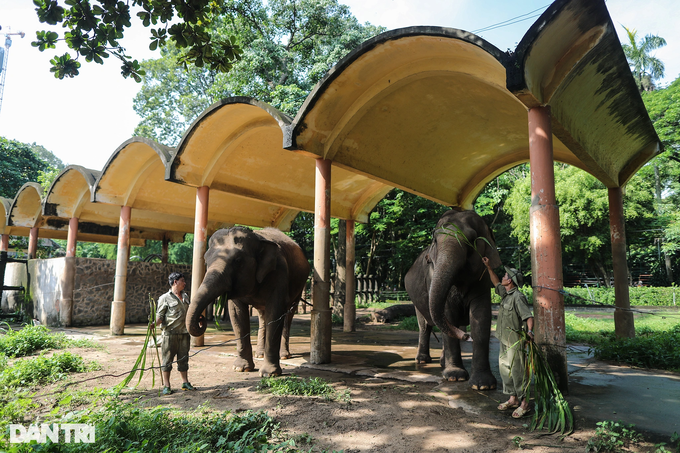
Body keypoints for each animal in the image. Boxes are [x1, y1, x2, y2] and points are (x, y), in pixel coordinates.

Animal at [186, 226, 310, 377]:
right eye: (205, 260)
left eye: (238, 260)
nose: (201, 319)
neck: (258, 238)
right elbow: (237, 315)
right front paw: (241, 368)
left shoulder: (279, 272)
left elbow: (275, 311)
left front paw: (269, 374)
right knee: (263, 315)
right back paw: (260, 354)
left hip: (299, 286)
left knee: (288, 314)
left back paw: (284, 356)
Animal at [404, 208, 501, 390]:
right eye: (435, 240)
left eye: (471, 240)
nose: (465, 336)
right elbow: (449, 314)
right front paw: (455, 377)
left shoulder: (482, 281)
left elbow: (481, 320)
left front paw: (483, 385)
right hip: (416, 303)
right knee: (424, 326)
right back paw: (422, 360)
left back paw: (442, 362)